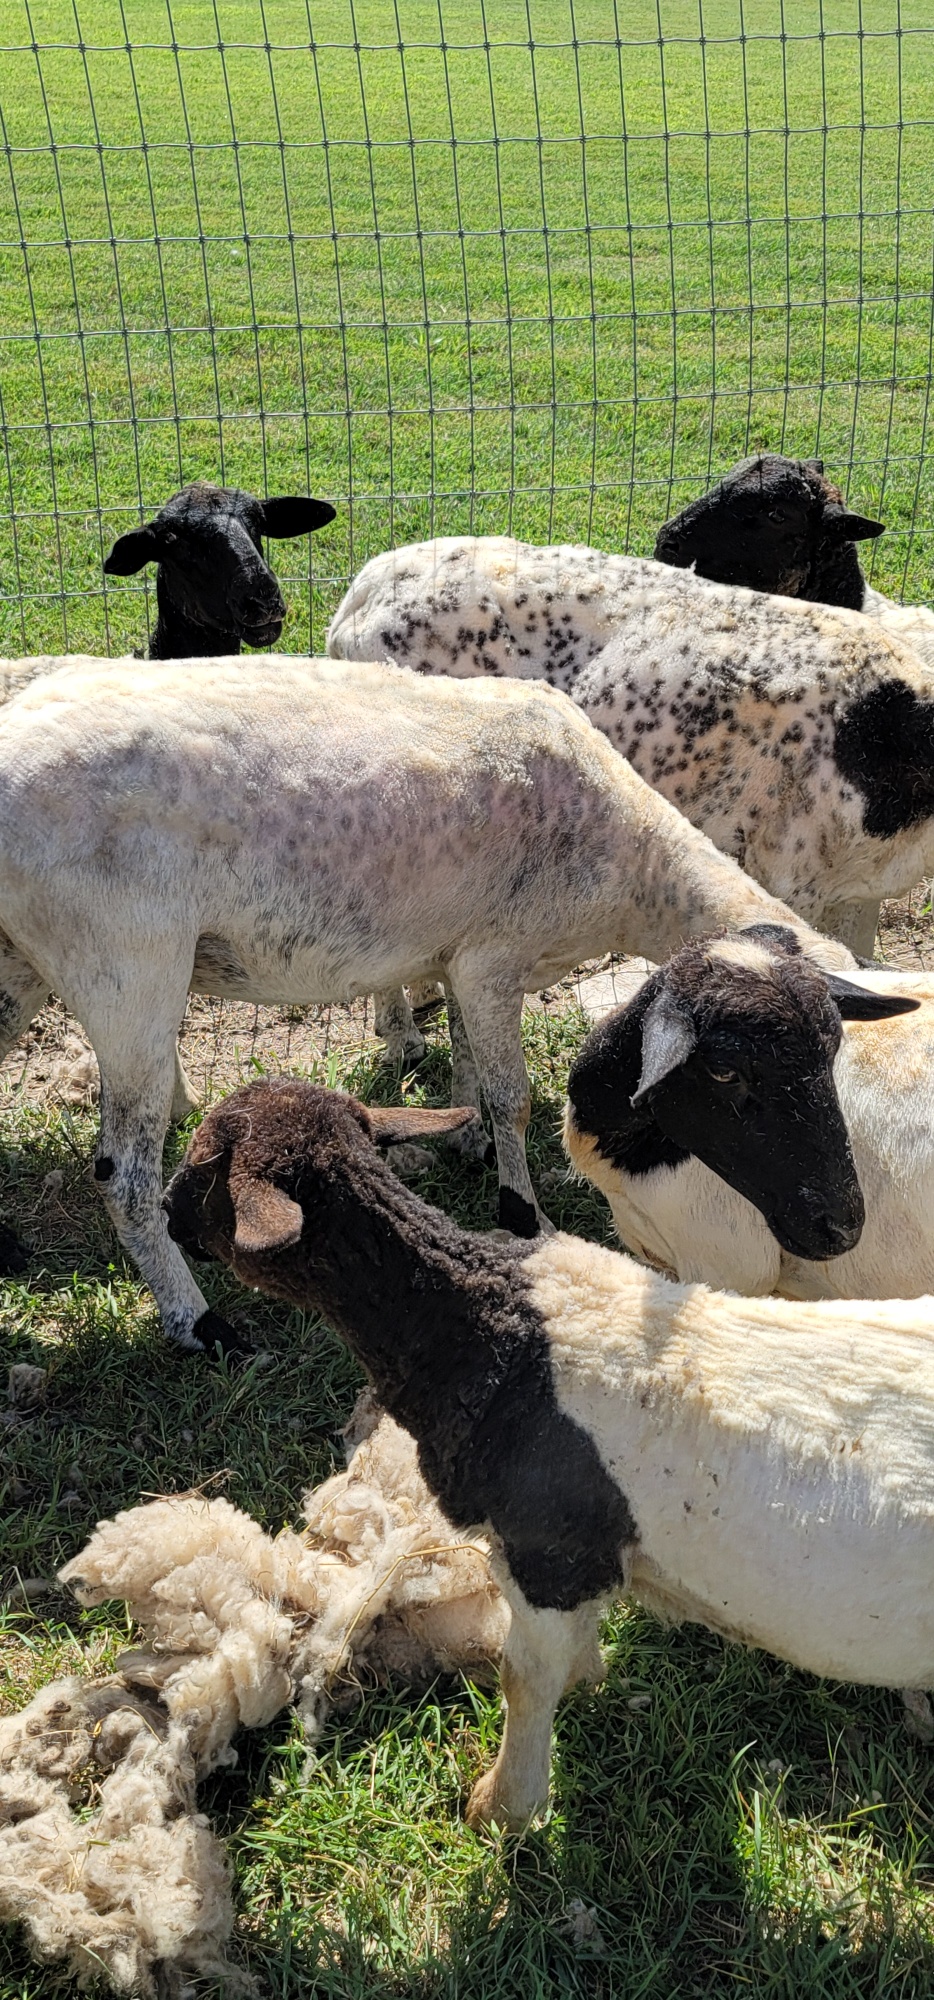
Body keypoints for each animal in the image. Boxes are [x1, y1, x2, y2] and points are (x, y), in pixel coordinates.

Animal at [0, 653, 873, 1354]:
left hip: (22, 961)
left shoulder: (459, 956)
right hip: (125, 964)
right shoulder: (493, 959)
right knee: (125, 1177)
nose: (840, 1229)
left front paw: (465, 1138)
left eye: (833, 1056)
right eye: (733, 1077)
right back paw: (203, 1326)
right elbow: (514, 1094)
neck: (633, 864)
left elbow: (466, 1062)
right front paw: (522, 1214)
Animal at [163, 1074, 934, 1835]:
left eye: (206, 1164)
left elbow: (524, 1680)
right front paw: (587, 1680)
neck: (484, 1325)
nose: (168, 1213)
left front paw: (502, 1808)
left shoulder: (546, 1552)